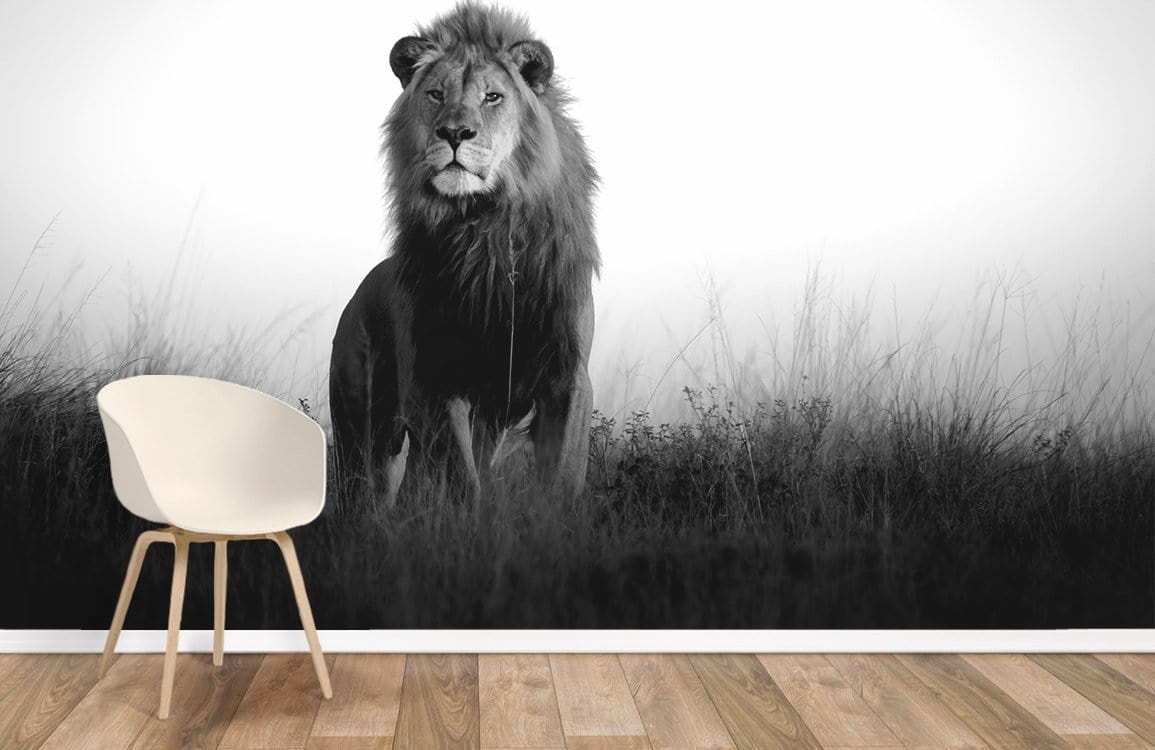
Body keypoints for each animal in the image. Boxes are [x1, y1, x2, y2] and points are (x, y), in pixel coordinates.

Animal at [329, 2, 600, 505]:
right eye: (436, 94)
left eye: (493, 97)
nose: (455, 132)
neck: (483, 227)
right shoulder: (436, 377)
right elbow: (461, 478)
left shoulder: (566, 374)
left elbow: (562, 477)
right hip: (362, 429)